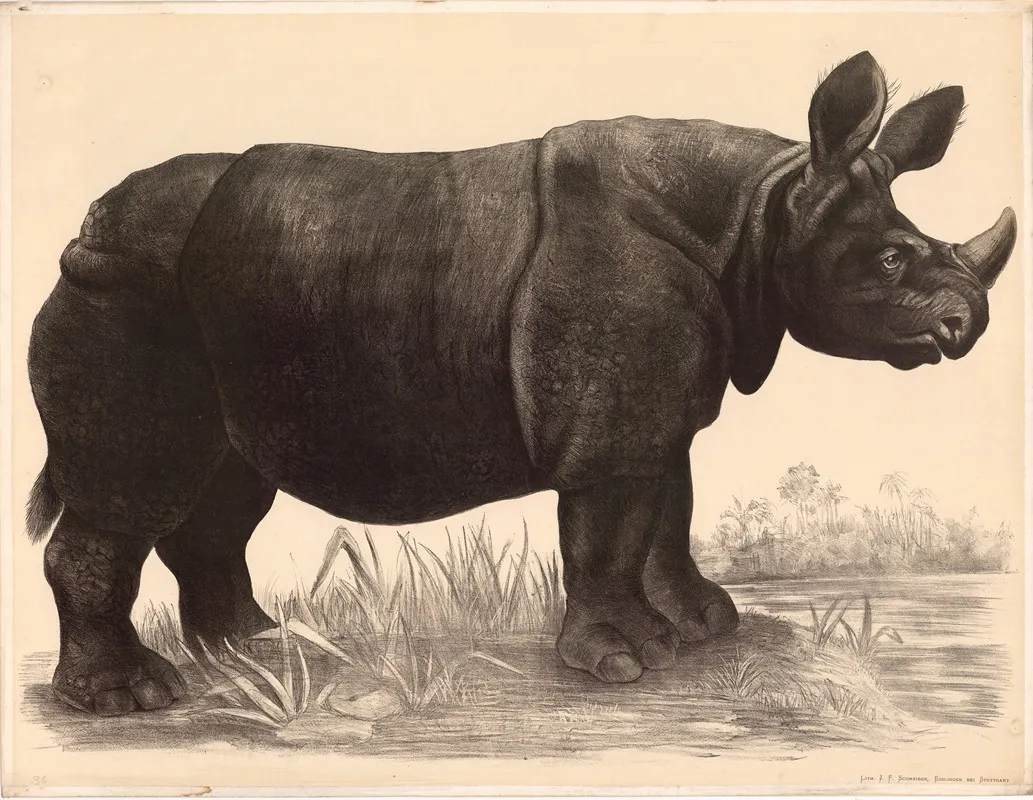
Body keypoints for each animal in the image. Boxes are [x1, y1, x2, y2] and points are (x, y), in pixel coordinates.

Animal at [26, 51, 1015, 716]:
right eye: (888, 262)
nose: (965, 324)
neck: (760, 212)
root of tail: (86, 233)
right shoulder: (609, 416)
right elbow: (610, 529)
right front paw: (623, 664)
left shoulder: (656, 405)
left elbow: (667, 510)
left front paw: (703, 627)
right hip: (128, 292)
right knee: (136, 485)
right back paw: (132, 700)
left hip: (210, 310)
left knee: (222, 488)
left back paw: (254, 647)